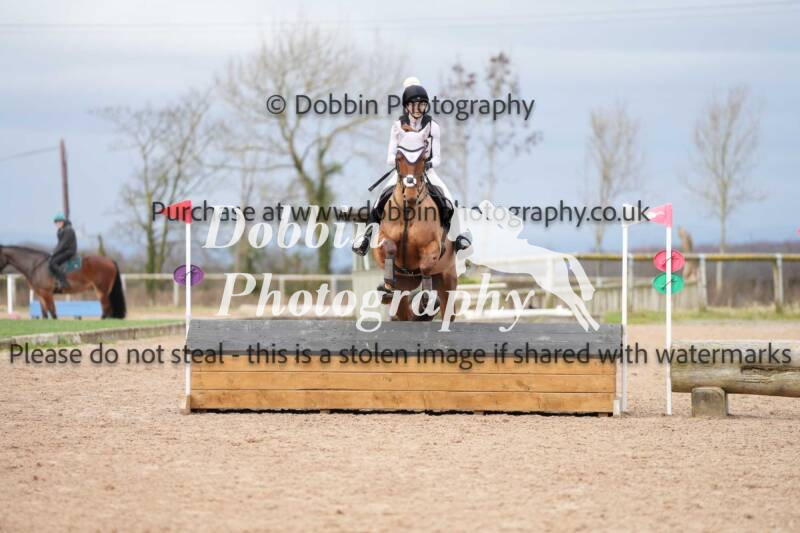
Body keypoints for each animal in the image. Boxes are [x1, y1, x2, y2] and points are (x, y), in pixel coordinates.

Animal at [372, 127, 458, 321]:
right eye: (399, 158)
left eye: (423, 158)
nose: (410, 196)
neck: (408, 211)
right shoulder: (383, 239)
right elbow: (389, 248)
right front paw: (387, 284)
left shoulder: (433, 246)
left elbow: (426, 265)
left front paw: (426, 301)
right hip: (404, 288)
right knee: (403, 312)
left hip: (448, 278)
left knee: (447, 309)